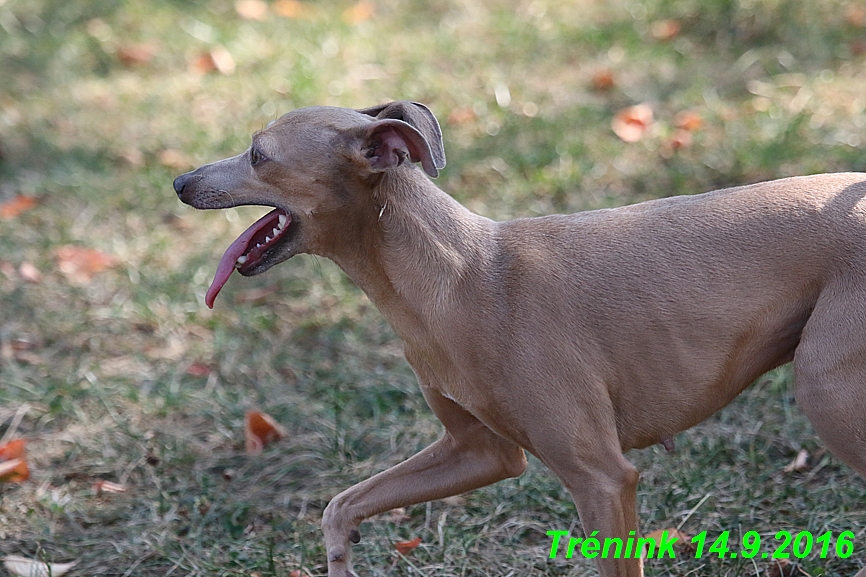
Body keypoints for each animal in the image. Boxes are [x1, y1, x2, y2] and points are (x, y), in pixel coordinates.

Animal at [174, 101, 864, 572]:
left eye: (258, 154)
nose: (179, 182)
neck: (458, 274)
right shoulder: (480, 452)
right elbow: (341, 503)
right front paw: (341, 555)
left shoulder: (604, 479)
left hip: (826, 391)